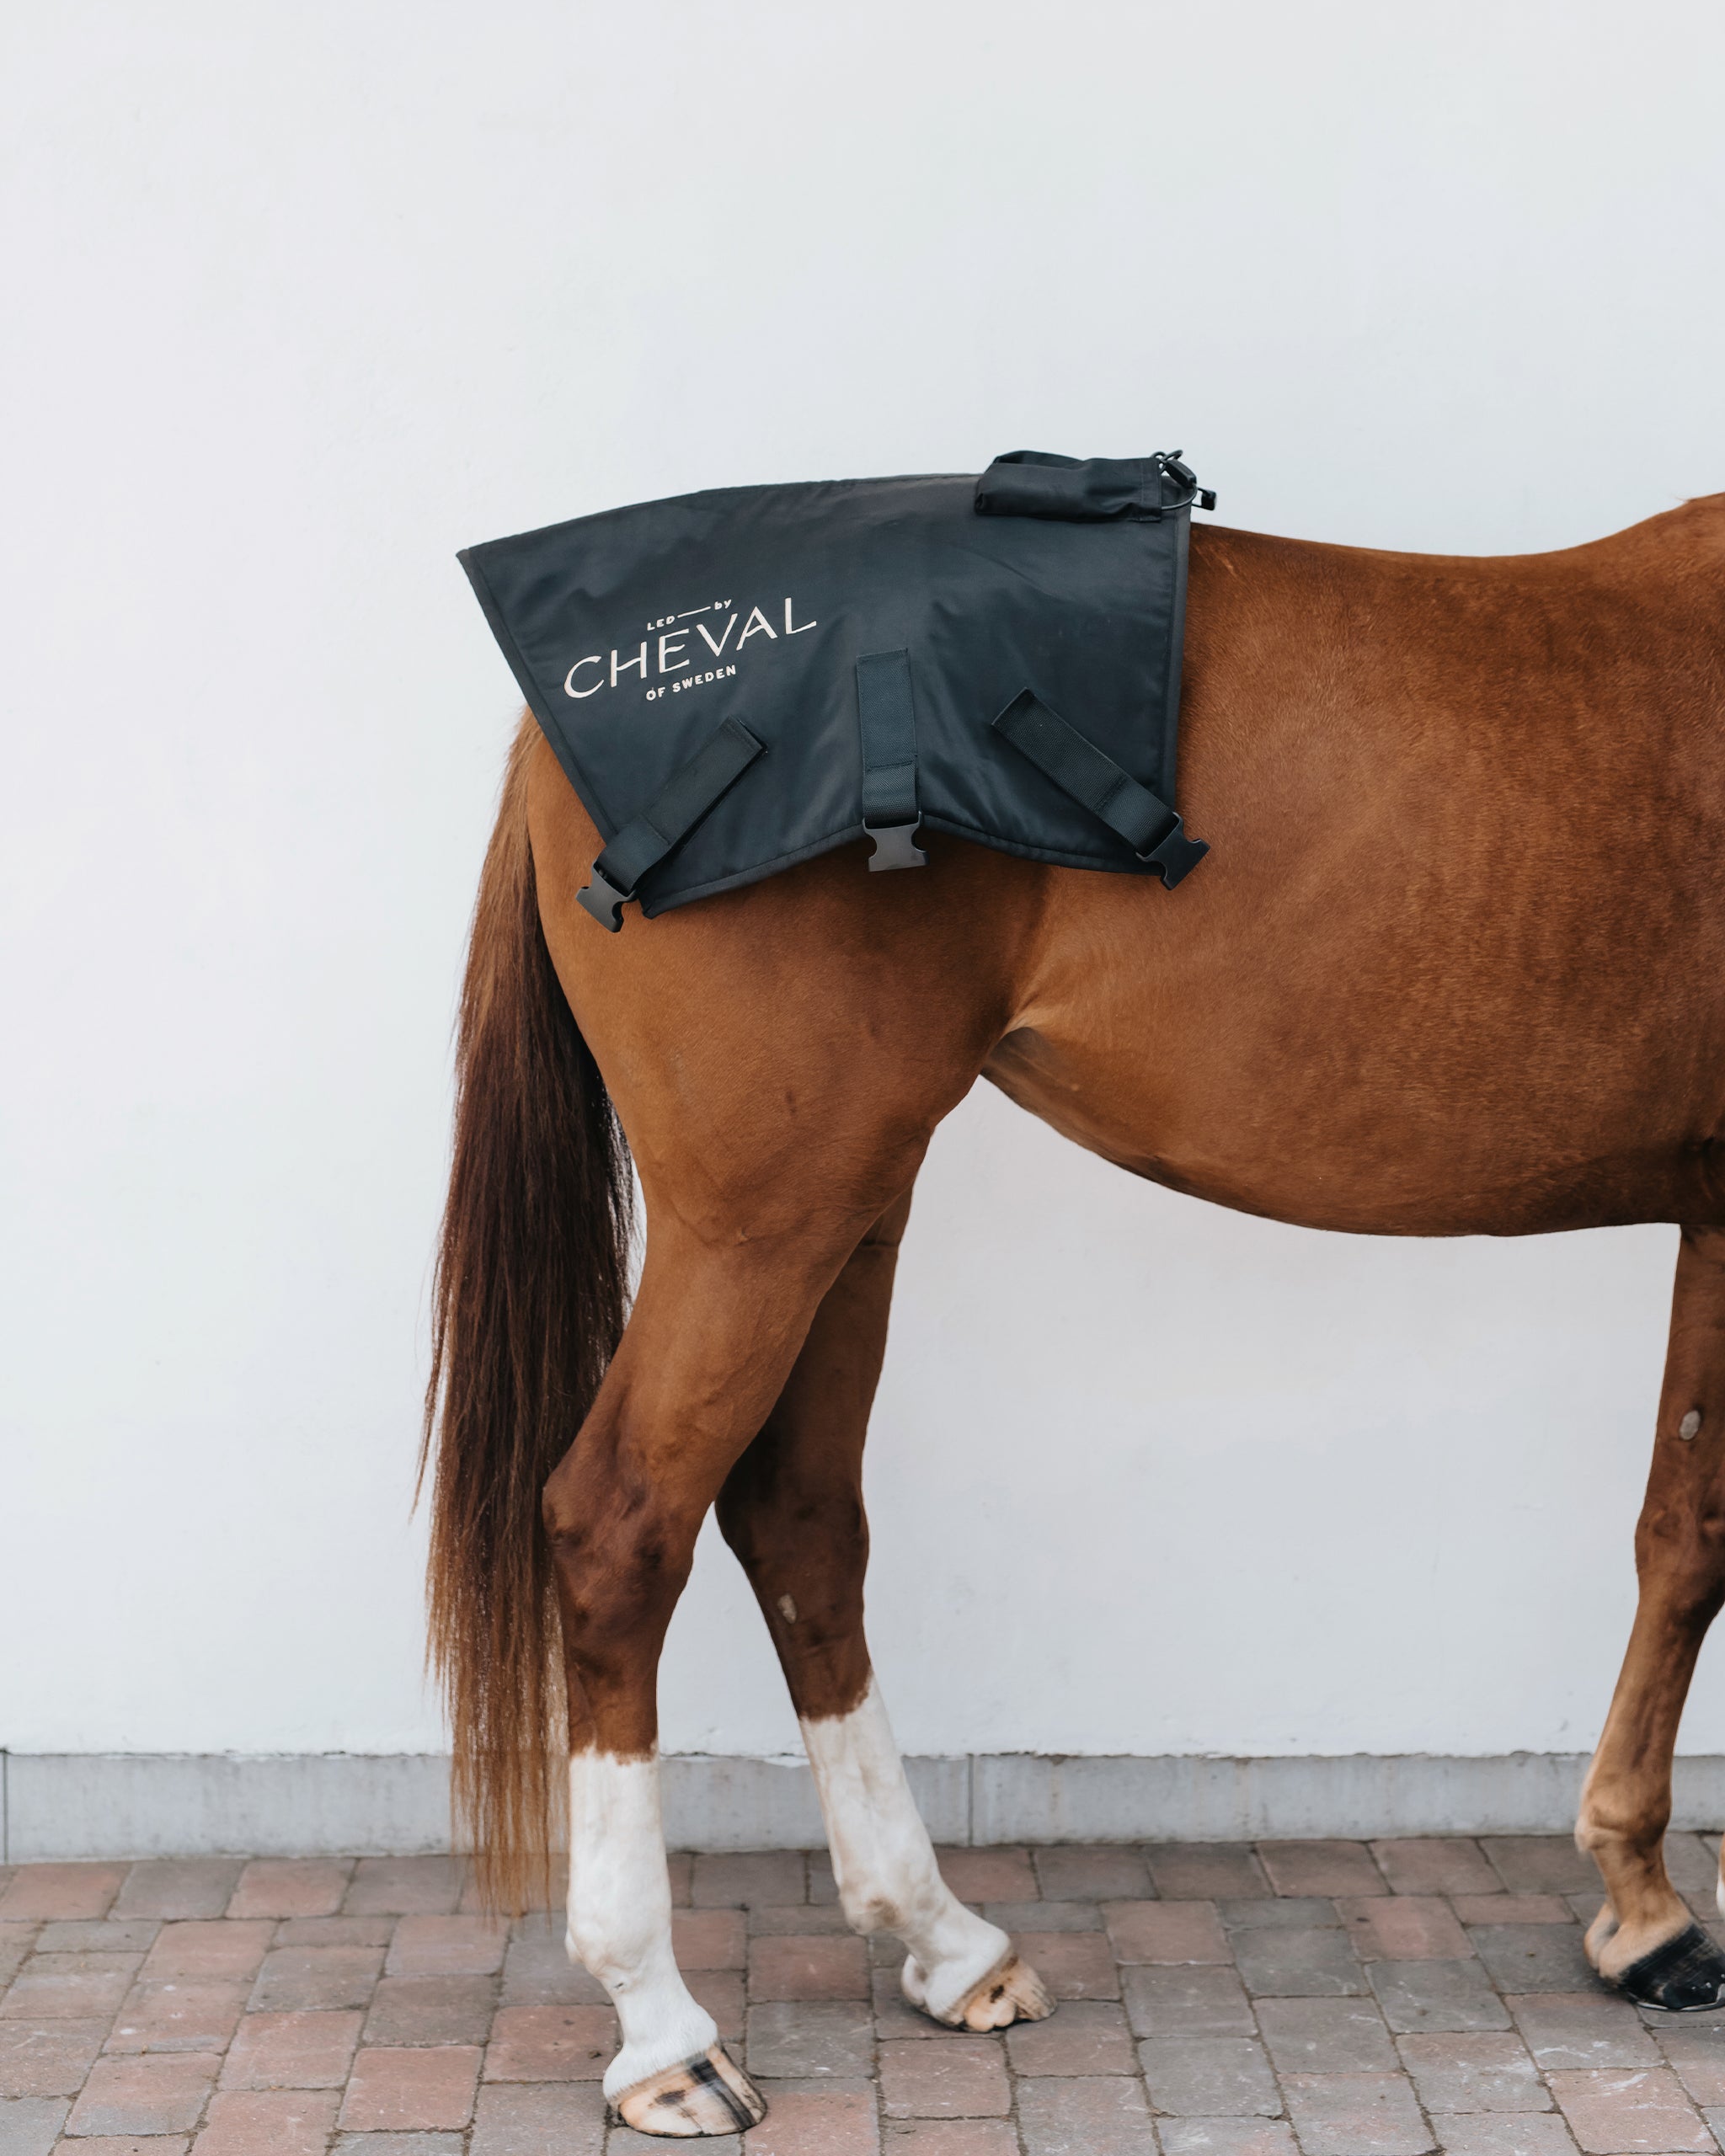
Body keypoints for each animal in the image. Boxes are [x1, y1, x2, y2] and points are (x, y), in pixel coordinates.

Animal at [423, 489, 1725, 2136]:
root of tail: (556, 736)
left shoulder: (1711, 1206)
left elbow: (1677, 1532)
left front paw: (1639, 1907)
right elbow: (1698, 1541)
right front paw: (1651, 1913)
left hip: (850, 1209)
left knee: (798, 1519)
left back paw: (943, 1943)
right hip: (757, 1221)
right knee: (619, 1526)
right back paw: (662, 2030)